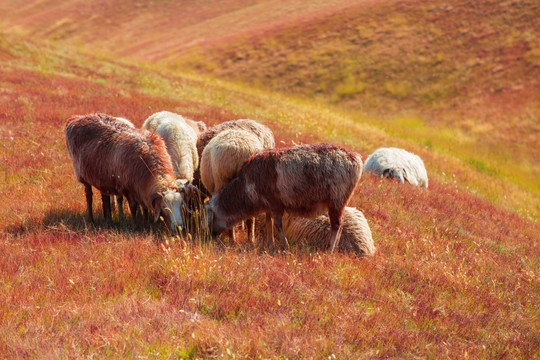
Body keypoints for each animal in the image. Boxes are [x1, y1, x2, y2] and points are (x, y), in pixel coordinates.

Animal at [205, 142, 364, 252]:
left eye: (207, 219)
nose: (207, 240)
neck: (245, 189)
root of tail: (354, 158)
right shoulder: (268, 206)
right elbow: (269, 223)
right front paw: (269, 244)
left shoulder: (275, 204)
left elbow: (277, 224)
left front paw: (284, 245)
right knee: (340, 224)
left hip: (337, 199)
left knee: (336, 225)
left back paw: (329, 250)